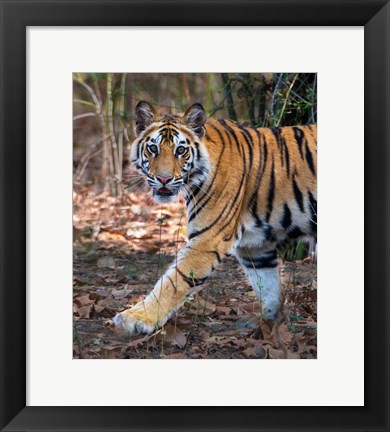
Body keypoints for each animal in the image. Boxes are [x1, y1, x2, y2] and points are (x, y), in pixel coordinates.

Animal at [112, 100, 316, 334]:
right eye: (153, 149)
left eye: (180, 150)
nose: (164, 179)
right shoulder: (255, 246)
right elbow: (267, 285)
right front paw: (268, 324)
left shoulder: (208, 239)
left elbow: (174, 281)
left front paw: (136, 317)